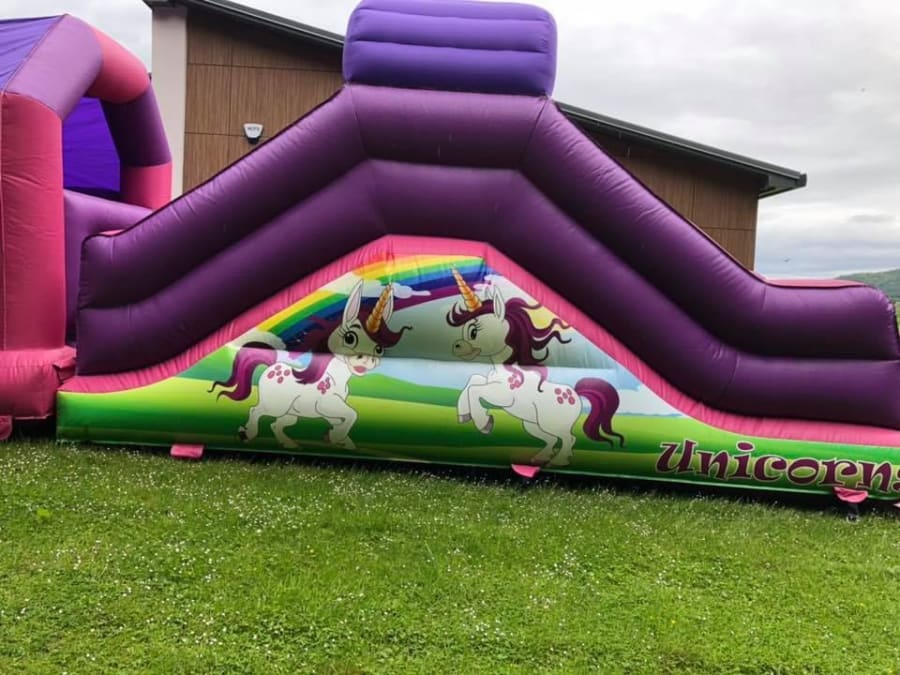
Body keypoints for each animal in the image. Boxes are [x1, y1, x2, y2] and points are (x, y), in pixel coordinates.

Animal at [210, 281, 409, 450]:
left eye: (379, 348)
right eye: (350, 338)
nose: (368, 360)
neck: (334, 379)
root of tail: (271, 367)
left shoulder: (331, 411)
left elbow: (345, 420)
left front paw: (338, 438)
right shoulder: (327, 405)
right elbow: (352, 414)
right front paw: (337, 437)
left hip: (290, 414)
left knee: (276, 424)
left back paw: (289, 444)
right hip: (276, 405)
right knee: (255, 410)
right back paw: (246, 434)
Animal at [447, 269, 624, 467]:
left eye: (473, 331)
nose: (456, 346)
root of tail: (576, 395)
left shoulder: (503, 396)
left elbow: (475, 390)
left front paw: (484, 422)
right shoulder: (488, 383)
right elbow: (473, 381)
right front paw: (464, 415)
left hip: (551, 423)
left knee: (568, 439)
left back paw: (559, 460)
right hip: (532, 425)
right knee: (552, 440)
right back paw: (541, 457)